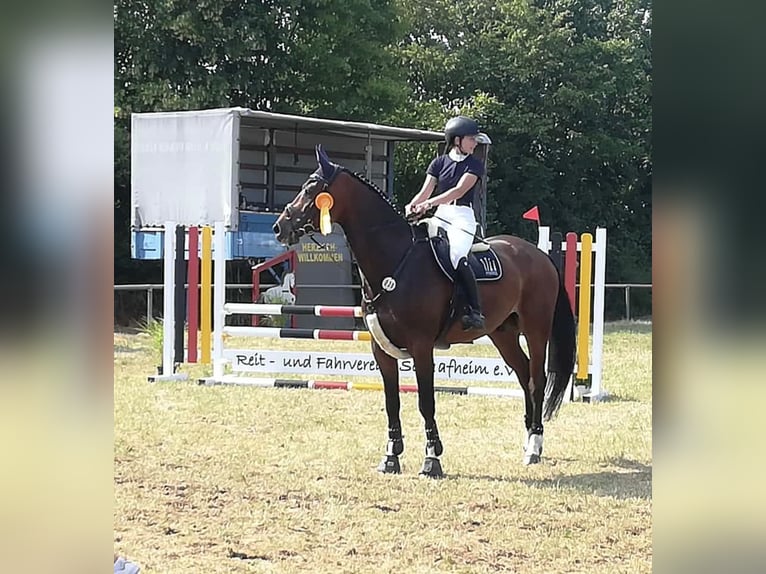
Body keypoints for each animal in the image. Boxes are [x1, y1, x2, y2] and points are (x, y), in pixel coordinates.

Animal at [272, 146, 580, 480]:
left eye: (311, 189)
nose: (279, 227)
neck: (396, 260)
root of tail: (539, 255)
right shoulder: (381, 350)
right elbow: (392, 402)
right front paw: (390, 457)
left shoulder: (421, 347)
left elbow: (425, 402)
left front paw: (432, 460)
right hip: (503, 333)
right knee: (524, 375)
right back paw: (527, 443)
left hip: (536, 329)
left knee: (536, 378)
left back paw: (534, 445)